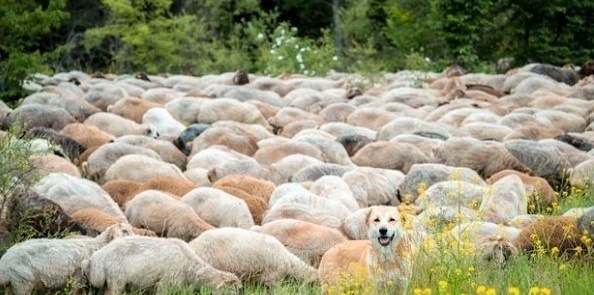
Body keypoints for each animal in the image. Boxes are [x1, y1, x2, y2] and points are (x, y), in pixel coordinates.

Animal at [0, 223, 134, 294]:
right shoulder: (77, 277)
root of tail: (5, 262)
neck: (95, 246)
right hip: (22, 282)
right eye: (125, 231)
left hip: (12, 284)